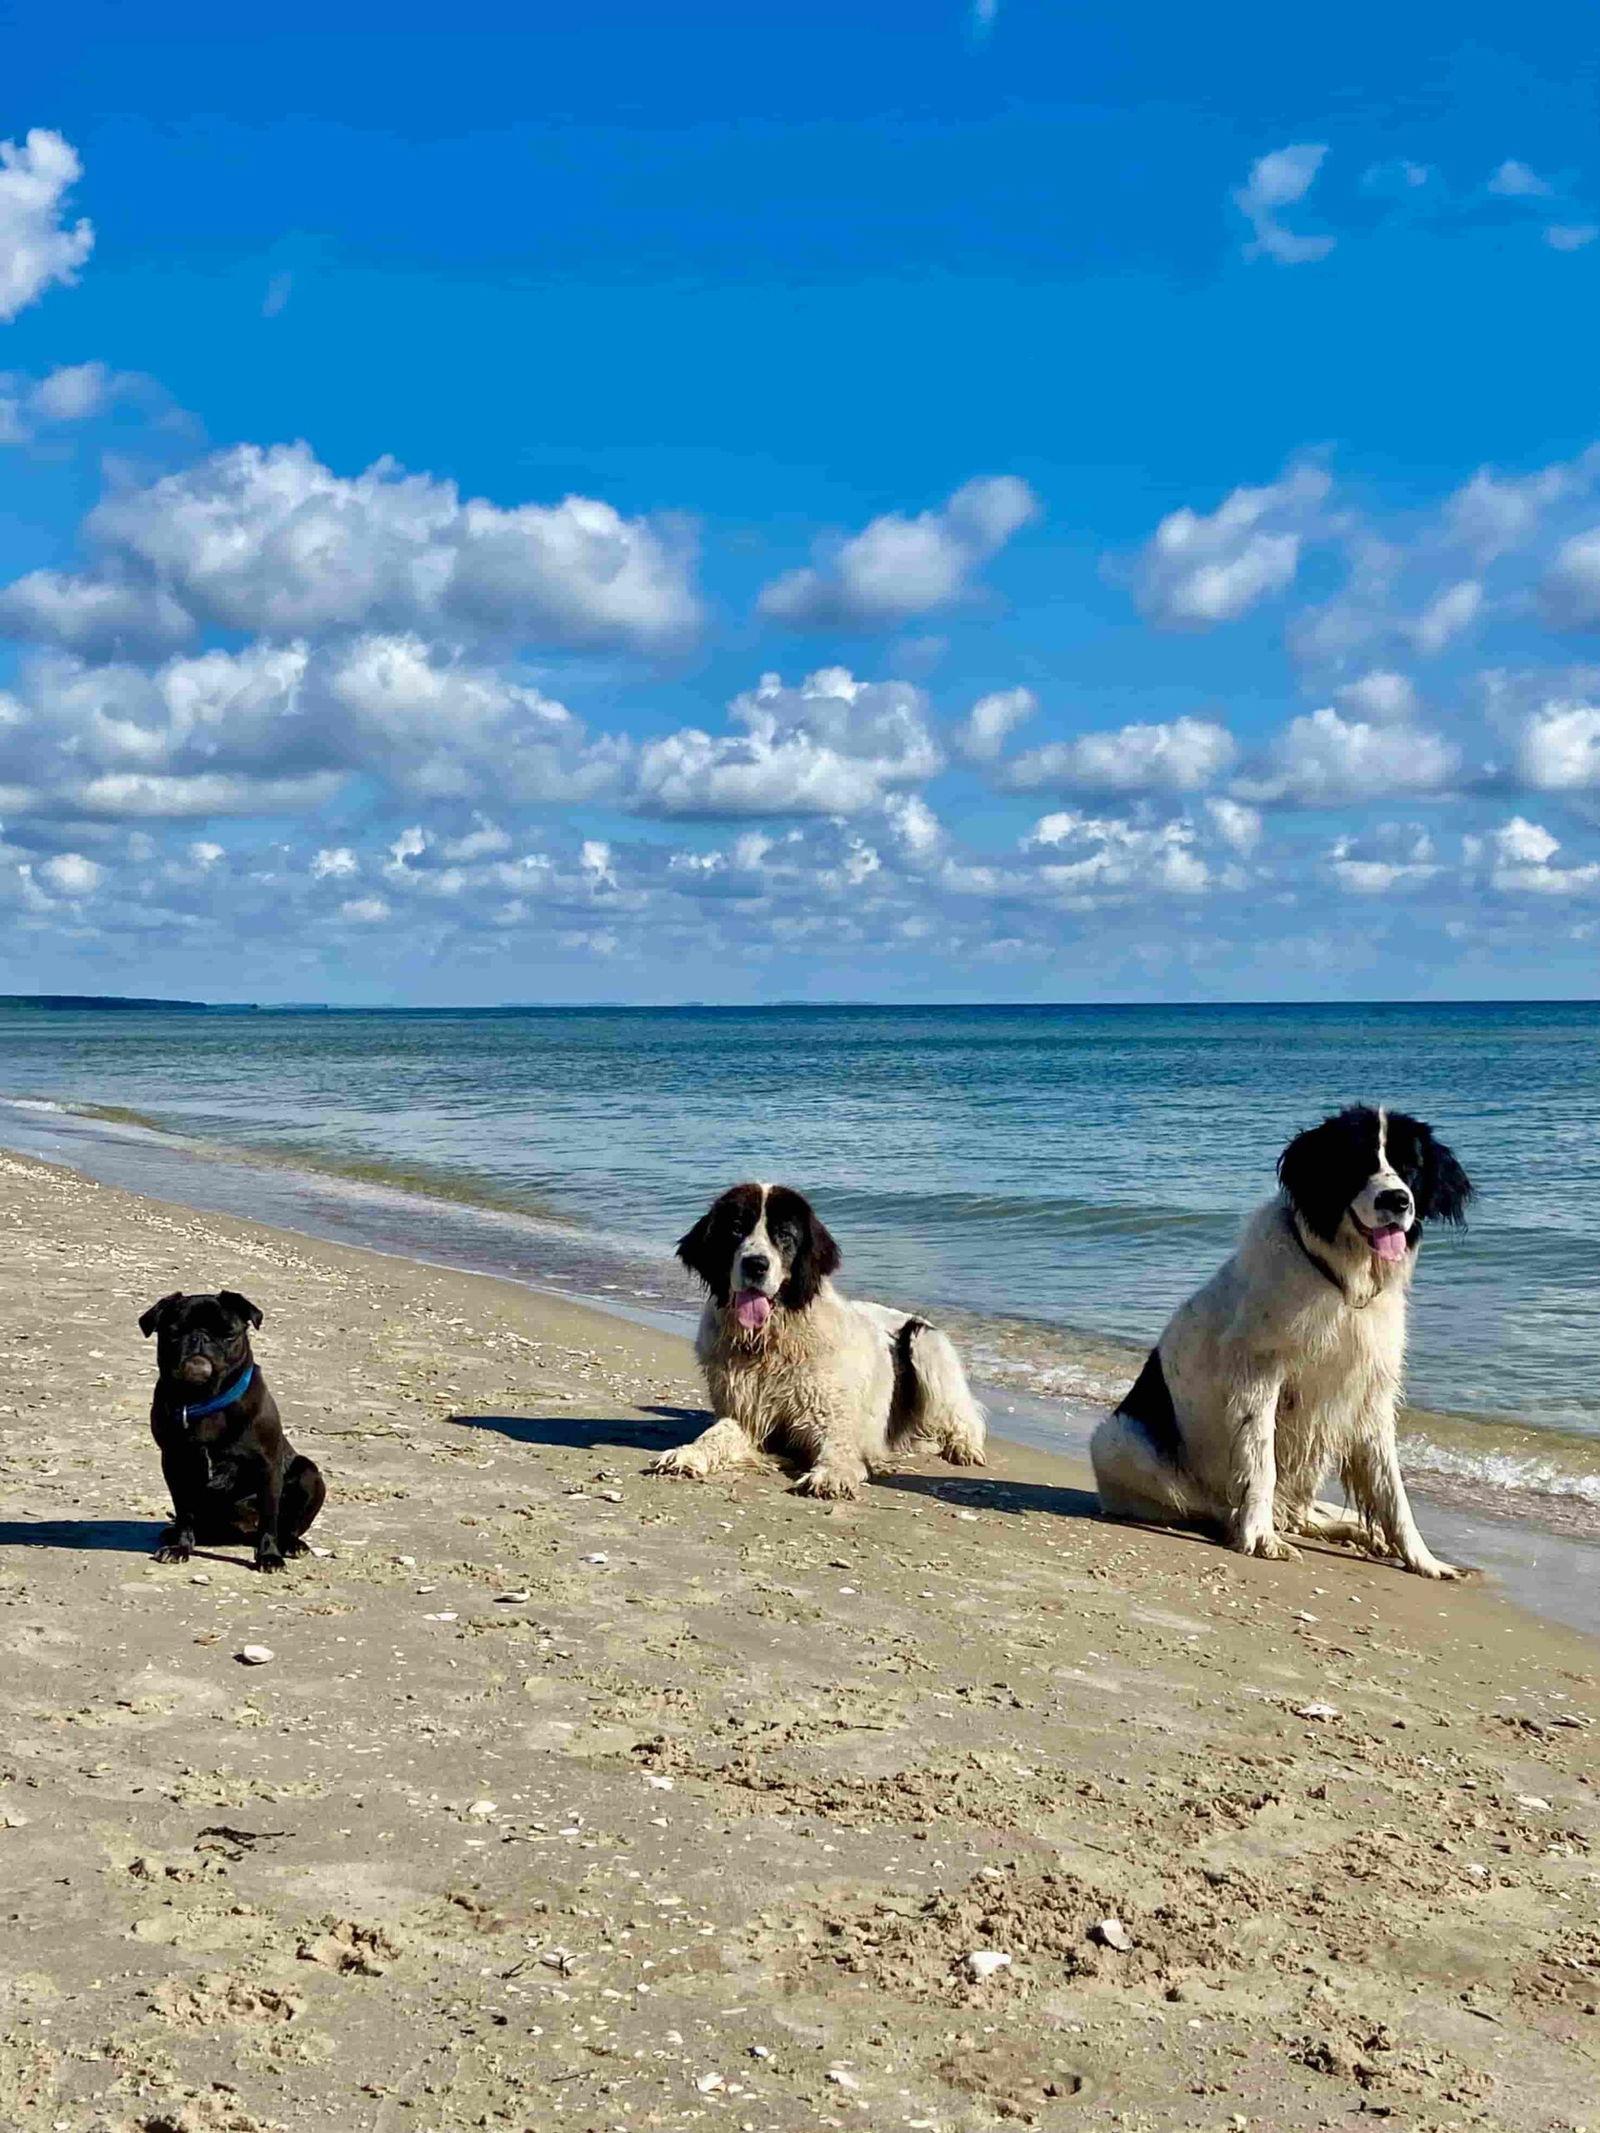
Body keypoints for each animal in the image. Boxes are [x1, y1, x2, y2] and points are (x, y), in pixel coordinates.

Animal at [652, 1185, 989, 1501]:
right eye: (735, 1229)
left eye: (784, 1235)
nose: (755, 1264)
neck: (769, 1345)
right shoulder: (748, 1416)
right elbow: (715, 1433)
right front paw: (687, 1453)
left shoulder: (829, 1419)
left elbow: (839, 1447)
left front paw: (831, 1476)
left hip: (925, 1343)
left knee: (965, 1418)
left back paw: (963, 1448)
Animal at [1092, 1109, 1476, 1578]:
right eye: (1357, 1162)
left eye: (1412, 1167)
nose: (1397, 1201)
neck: (1341, 1280)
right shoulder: (1259, 1375)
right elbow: (1260, 1462)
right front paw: (1259, 1536)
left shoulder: (1369, 1392)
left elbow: (1392, 1488)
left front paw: (1423, 1560)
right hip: (1116, 1441)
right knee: (1216, 1502)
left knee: (1301, 1511)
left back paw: (1351, 1529)